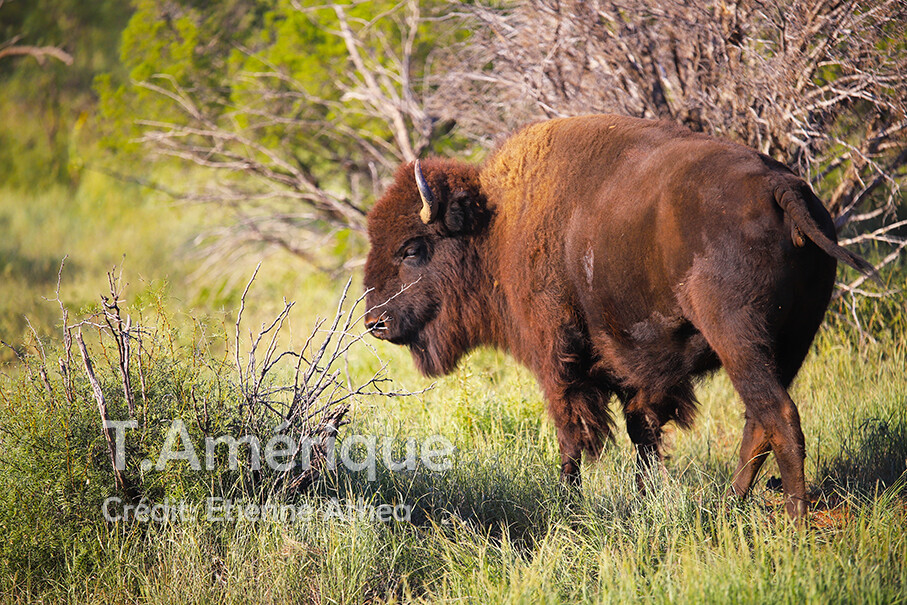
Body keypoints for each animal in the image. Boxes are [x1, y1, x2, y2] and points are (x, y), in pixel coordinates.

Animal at [360, 115, 872, 516]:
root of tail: (781, 188)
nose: (374, 323)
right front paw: (645, 500)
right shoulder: (633, 370)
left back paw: (794, 520)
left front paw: (568, 506)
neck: (498, 223)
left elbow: (572, 435)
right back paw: (730, 505)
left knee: (778, 417)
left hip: (737, 339)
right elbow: (641, 434)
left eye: (411, 248)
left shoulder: (559, 360)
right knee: (758, 422)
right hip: (789, 343)